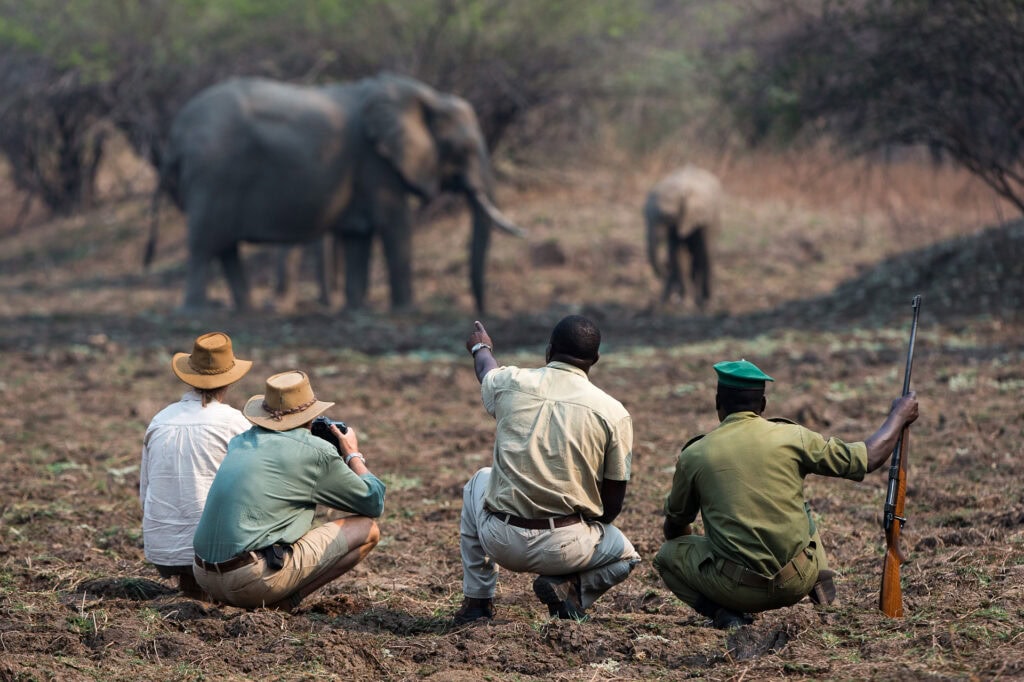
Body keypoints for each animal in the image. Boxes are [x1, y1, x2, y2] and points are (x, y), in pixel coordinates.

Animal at [145, 72, 524, 313]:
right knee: (203, 245)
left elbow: (358, 238)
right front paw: (406, 309)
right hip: (212, 175)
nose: (482, 311)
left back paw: (245, 309)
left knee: (226, 248)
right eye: (465, 150)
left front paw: (358, 309)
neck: (425, 96)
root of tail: (176, 134)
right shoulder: (376, 162)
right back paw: (195, 312)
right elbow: (396, 225)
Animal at [643, 165, 722, 310]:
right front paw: (686, 303)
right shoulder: (676, 226)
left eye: (667, 216)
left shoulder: (705, 218)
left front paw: (708, 304)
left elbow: (706, 254)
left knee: (700, 257)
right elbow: (677, 254)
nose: (665, 270)